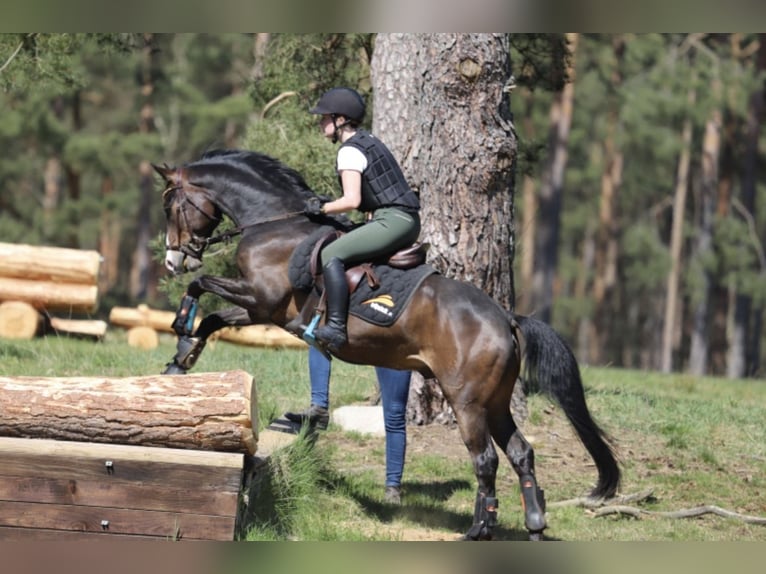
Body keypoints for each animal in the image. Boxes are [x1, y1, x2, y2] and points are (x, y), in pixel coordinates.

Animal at [154, 148, 620, 541]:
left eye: (170, 207)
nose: (174, 260)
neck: (275, 223)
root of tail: (505, 319)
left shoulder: (262, 299)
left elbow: (202, 287)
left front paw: (180, 325)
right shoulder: (263, 310)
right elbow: (214, 319)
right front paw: (180, 361)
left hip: (467, 401)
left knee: (485, 459)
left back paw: (479, 530)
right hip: (497, 402)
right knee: (521, 453)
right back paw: (535, 526)